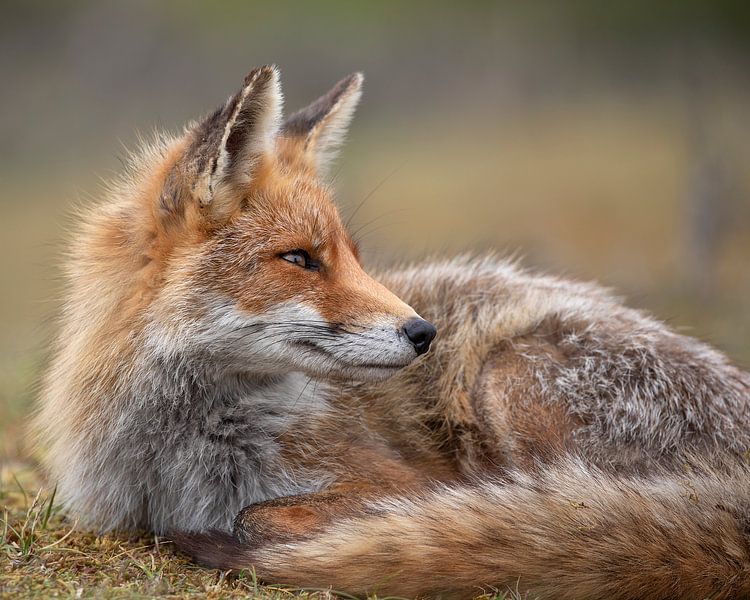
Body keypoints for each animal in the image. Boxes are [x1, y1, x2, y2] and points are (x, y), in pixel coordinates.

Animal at [35, 65, 750, 599]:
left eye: (355, 256)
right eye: (300, 259)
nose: (423, 332)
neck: (181, 452)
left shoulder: (407, 481)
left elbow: (254, 516)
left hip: (507, 381)